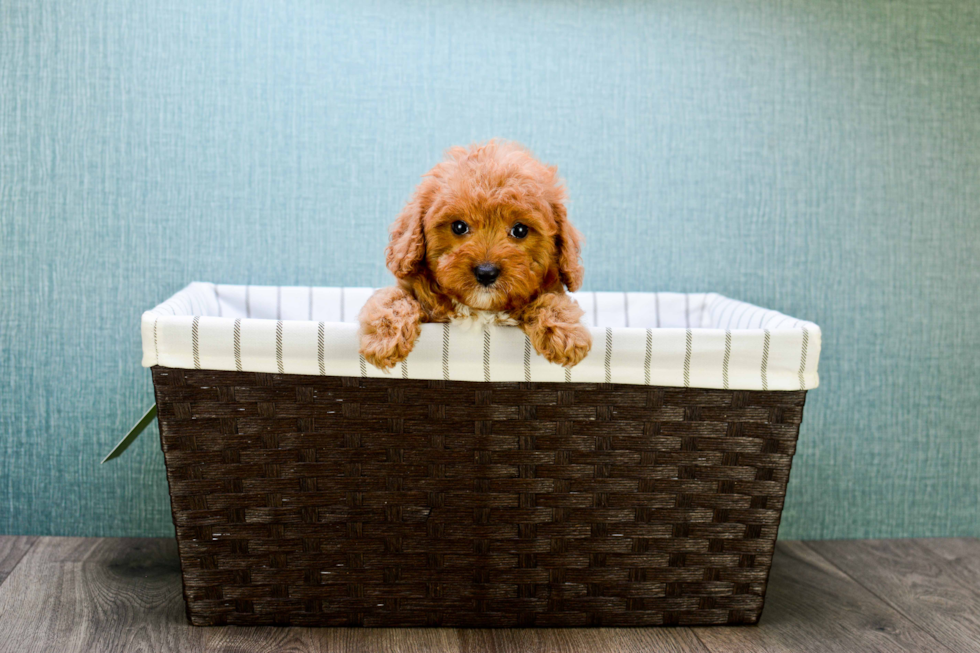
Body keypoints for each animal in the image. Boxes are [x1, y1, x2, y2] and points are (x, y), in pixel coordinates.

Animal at [360, 140, 588, 370]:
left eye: (520, 230)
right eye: (459, 226)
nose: (486, 273)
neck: (480, 310)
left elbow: (552, 299)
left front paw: (566, 333)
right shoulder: (409, 287)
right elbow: (393, 297)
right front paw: (384, 339)